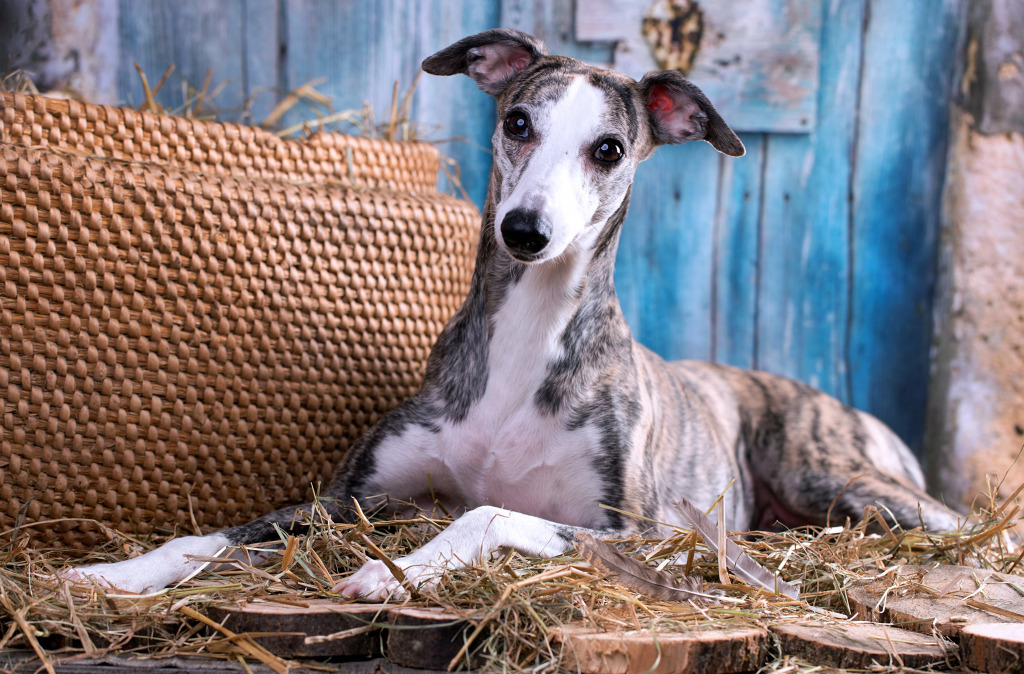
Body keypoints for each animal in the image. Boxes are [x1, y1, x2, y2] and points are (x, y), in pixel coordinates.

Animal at [66, 31, 966, 598]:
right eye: (517, 122)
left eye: (609, 149)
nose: (524, 231)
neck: (529, 338)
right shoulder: (349, 499)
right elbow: (210, 535)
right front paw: (112, 574)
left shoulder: (641, 531)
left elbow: (492, 509)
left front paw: (398, 570)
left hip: (839, 478)